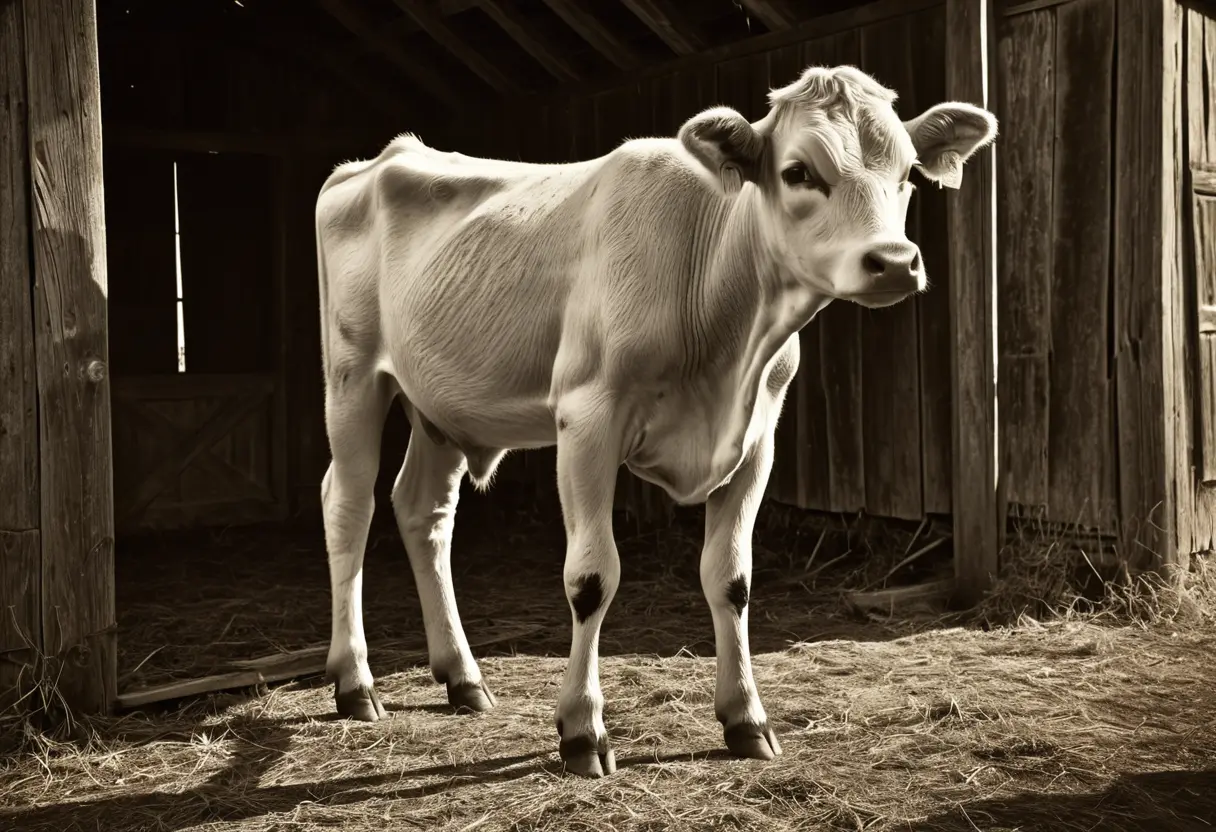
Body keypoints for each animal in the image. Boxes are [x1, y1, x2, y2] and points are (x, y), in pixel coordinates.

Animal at [315, 64, 997, 778]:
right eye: (798, 171)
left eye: (910, 170)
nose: (893, 261)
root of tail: (369, 163)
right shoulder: (587, 418)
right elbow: (591, 577)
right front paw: (582, 729)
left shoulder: (757, 440)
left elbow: (732, 579)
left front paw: (746, 718)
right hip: (354, 379)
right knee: (350, 506)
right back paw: (355, 681)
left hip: (441, 407)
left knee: (423, 512)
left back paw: (462, 676)